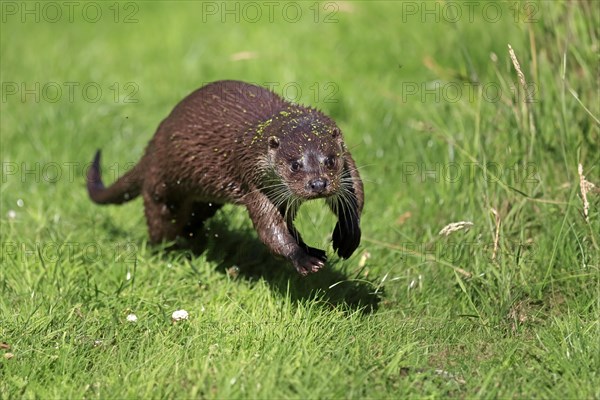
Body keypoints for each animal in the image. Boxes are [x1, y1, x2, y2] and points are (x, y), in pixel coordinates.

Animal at [86, 80, 364, 276]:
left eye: (330, 160)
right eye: (295, 164)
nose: (317, 184)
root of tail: (152, 145)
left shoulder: (348, 165)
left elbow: (356, 197)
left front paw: (347, 236)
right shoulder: (252, 180)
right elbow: (270, 230)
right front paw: (302, 258)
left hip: (204, 200)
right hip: (161, 188)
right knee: (159, 225)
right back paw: (169, 253)